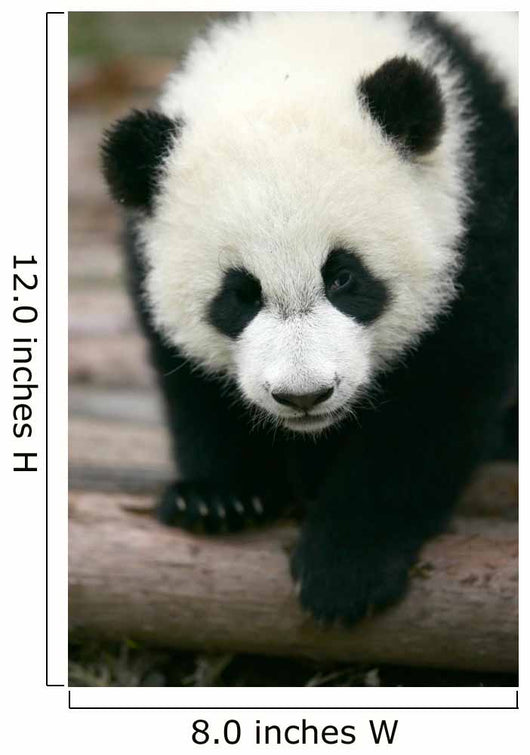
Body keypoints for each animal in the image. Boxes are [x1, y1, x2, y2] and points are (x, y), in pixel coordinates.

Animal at [101, 12, 517, 624]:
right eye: (240, 295)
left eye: (343, 277)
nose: (304, 396)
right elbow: (188, 375)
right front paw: (220, 495)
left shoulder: (481, 213)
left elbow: (438, 397)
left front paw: (346, 566)